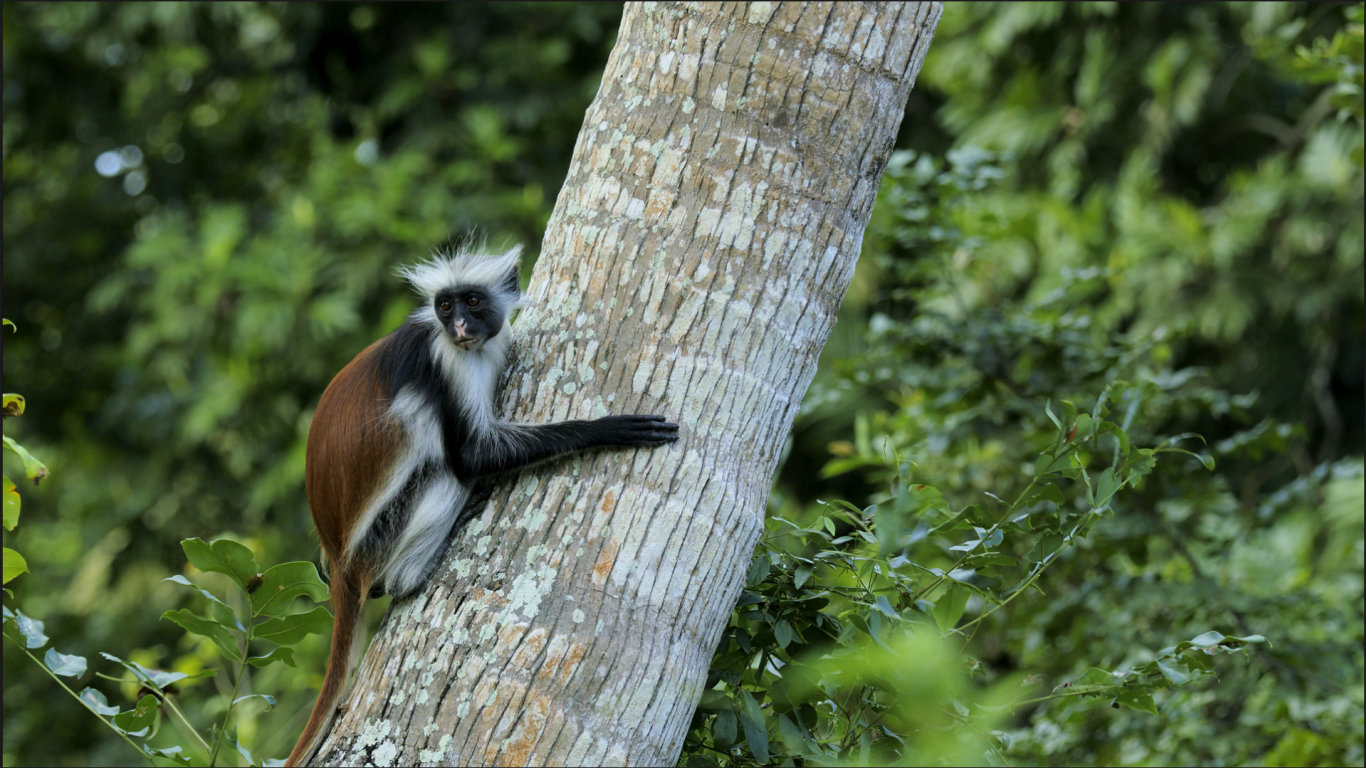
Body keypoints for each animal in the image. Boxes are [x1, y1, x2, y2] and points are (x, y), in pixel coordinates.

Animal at [285, 243, 680, 759]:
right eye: (445, 306)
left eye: (472, 302)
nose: (458, 327)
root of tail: (338, 560)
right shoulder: (447, 360)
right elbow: (472, 455)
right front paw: (607, 428)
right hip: (381, 532)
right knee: (447, 473)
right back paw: (411, 575)